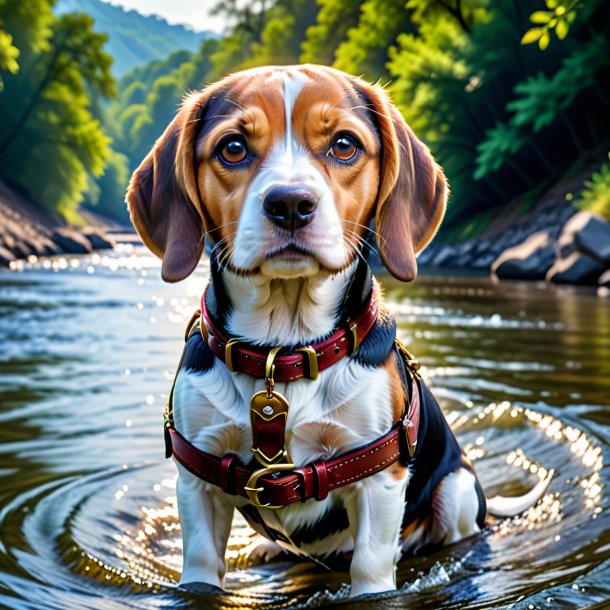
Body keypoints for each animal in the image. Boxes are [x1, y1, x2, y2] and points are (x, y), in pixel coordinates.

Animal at [126, 65, 544, 592]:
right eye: (233, 148)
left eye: (344, 145)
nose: (290, 203)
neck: (281, 352)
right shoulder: (197, 480)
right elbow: (201, 569)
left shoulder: (379, 480)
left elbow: (369, 566)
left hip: (459, 489)